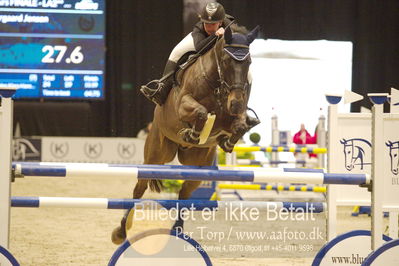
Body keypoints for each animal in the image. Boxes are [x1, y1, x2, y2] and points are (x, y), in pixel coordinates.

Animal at [111, 26, 262, 244]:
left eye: (248, 62)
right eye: (226, 60)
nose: (235, 104)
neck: (217, 85)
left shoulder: (231, 117)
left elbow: (241, 125)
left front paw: (226, 142)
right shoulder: (184, 105)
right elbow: (200, 112)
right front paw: (193, 132)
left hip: (199, 166)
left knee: (183, 193)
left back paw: (178, 229)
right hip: (156, 156)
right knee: (139, 189)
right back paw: (121, 231)